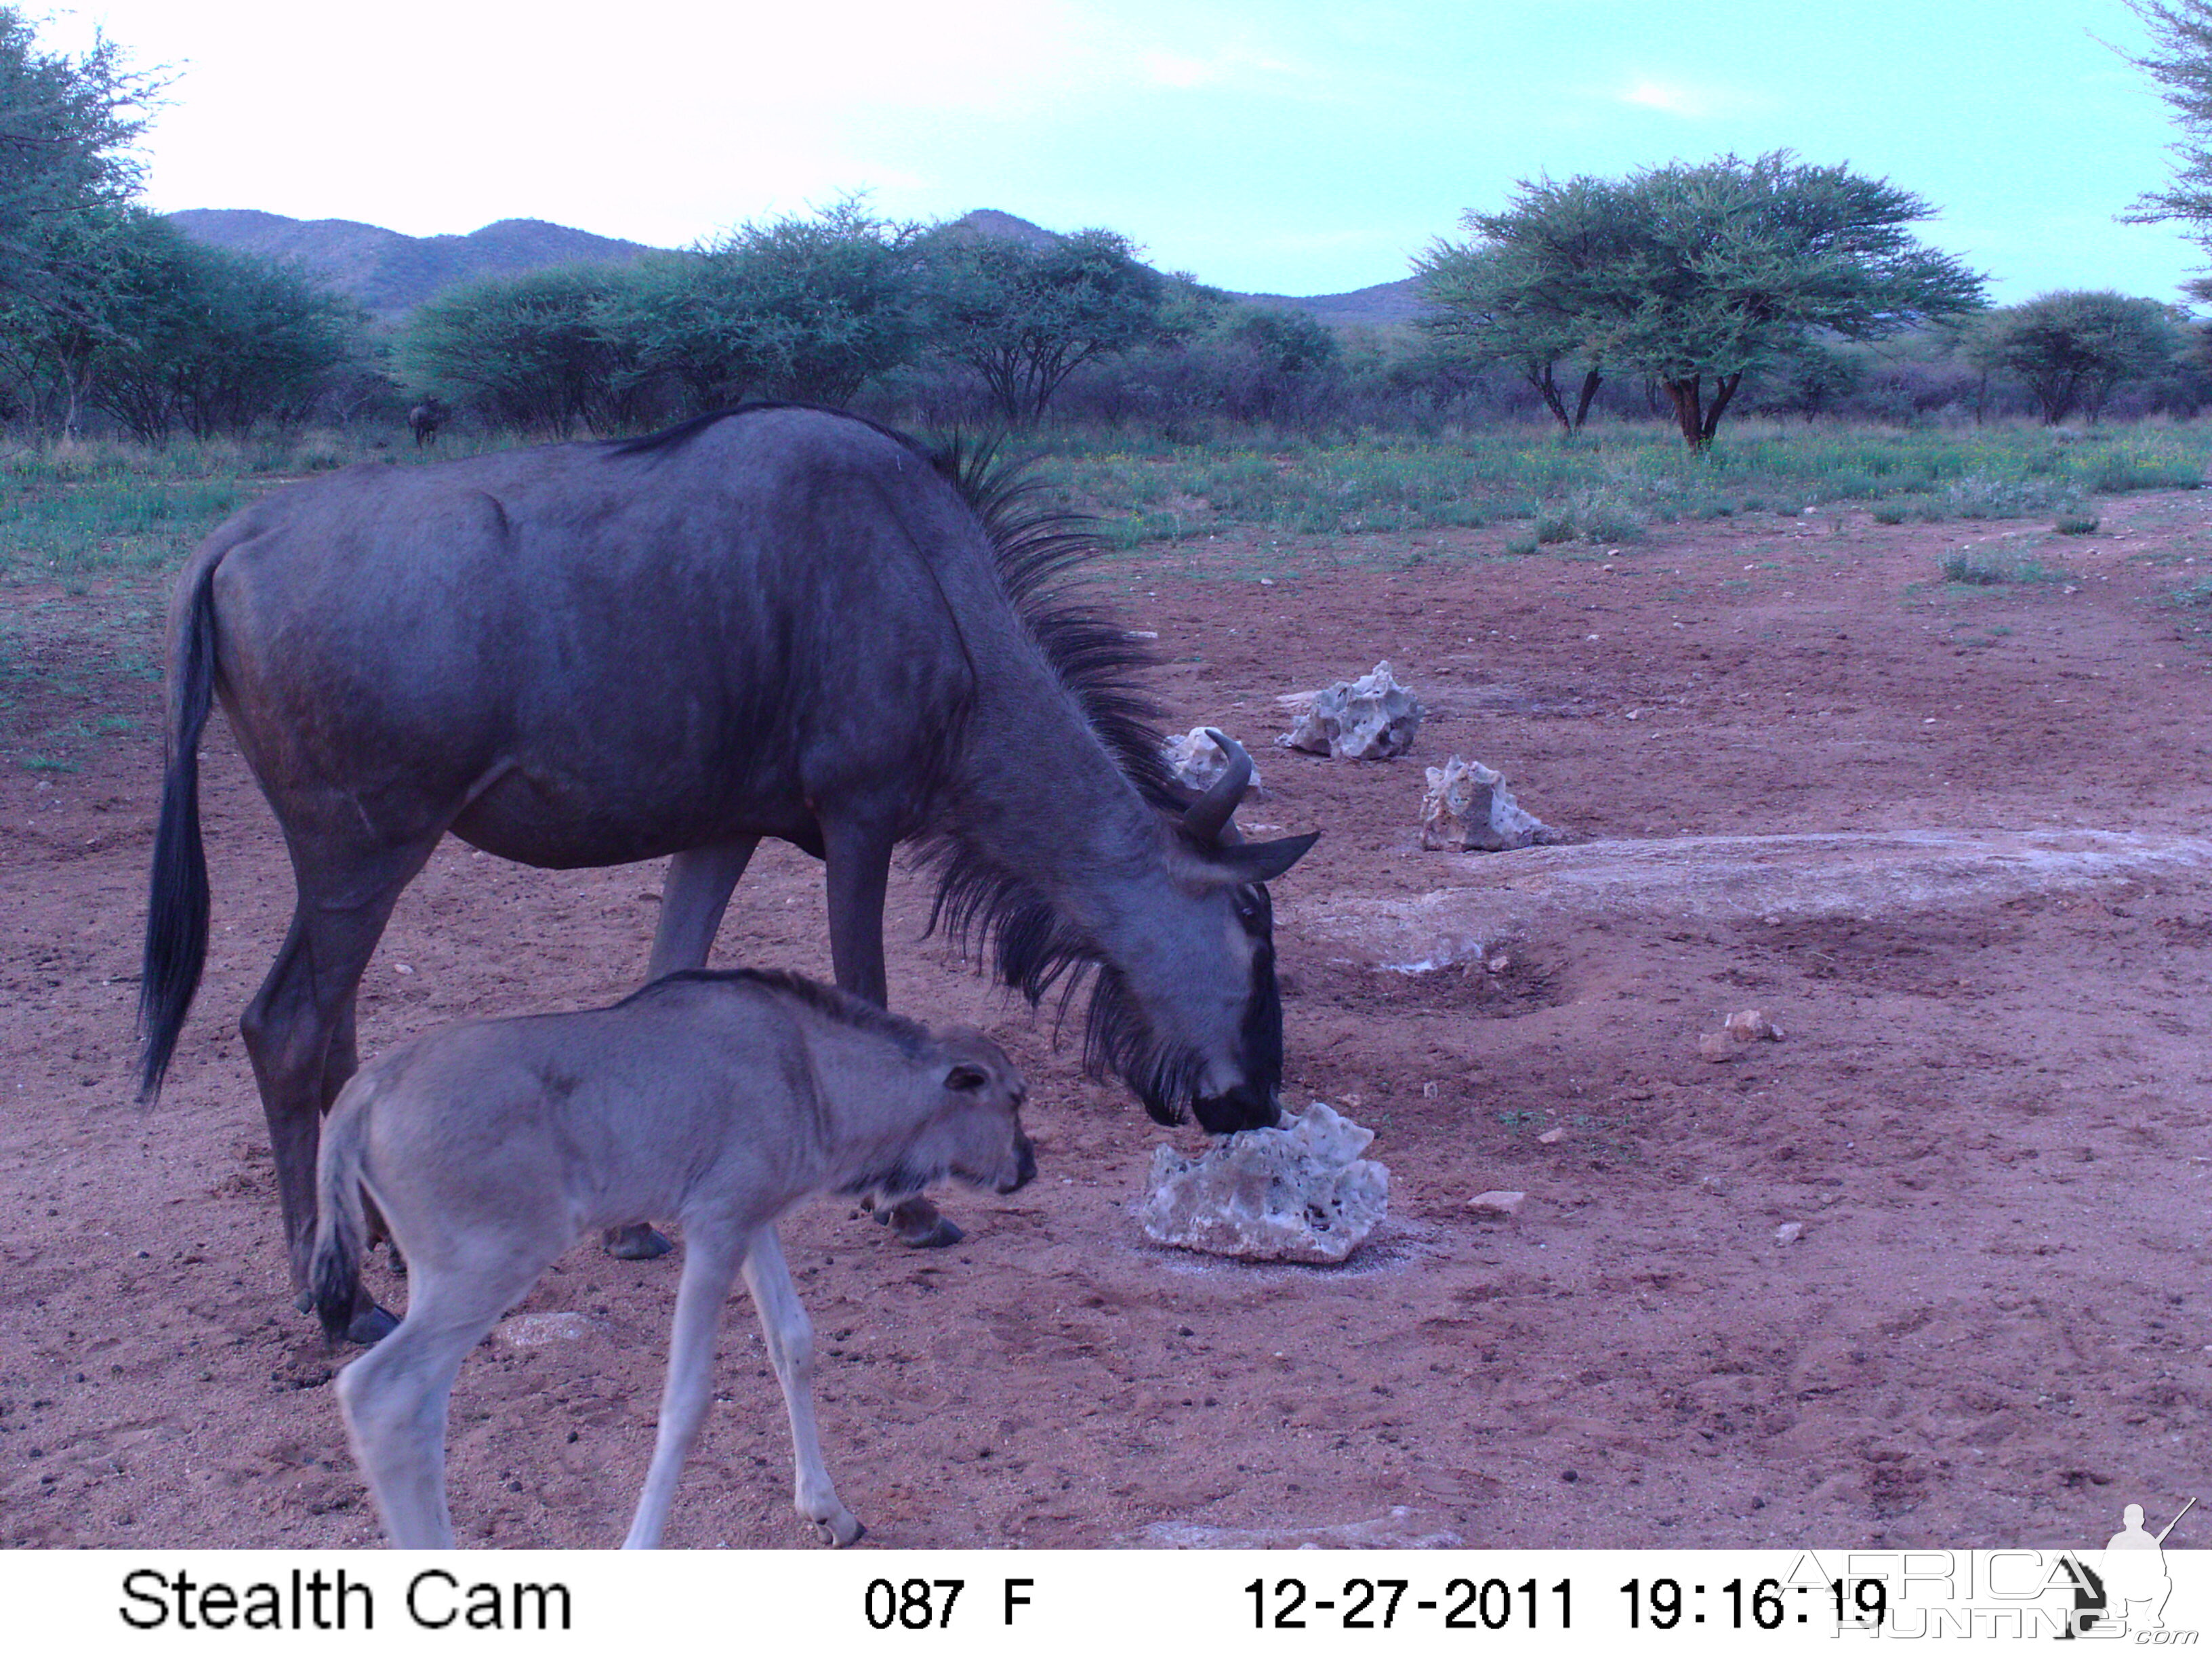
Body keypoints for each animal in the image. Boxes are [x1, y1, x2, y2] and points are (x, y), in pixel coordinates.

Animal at [309, 968, 1035, 1557]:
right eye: (1012, 1098)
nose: (1026, 1169)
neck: (806, 1065)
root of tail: (365, 1090)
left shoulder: (752, 1222)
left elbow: (793, 1343)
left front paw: (829, 1511)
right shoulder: (715, 1229)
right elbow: (686, 1403)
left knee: (421, 1409)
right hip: (486, 1272)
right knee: (382, 1395)